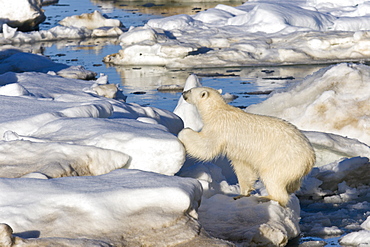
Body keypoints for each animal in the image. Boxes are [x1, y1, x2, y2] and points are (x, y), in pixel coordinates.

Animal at [178, 87, 316, 206]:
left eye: (191, 90)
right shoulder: (238, 150)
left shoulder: (219, 128)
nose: (183, 93)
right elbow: (244, 168)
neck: (217, 110)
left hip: (283, 158)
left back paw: (266, 197)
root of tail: (310, 157)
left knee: (273, 177)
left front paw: (184, 132)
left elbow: (207, 146)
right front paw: (242, 193)